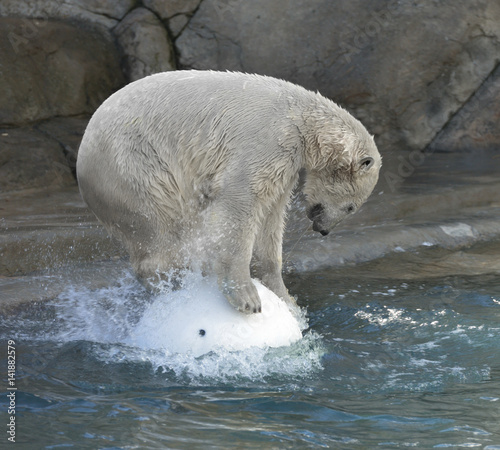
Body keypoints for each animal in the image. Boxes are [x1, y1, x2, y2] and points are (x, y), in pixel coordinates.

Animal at [76, 72, 380, 314]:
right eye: (352, 207)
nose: (323, 230)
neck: (301, 119)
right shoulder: (268, 141)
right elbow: (241, 201)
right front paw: (246, 297)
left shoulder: (287, 165)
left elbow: (271, 218)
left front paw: (287, 299)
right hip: (135, 167)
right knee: (159, 231)